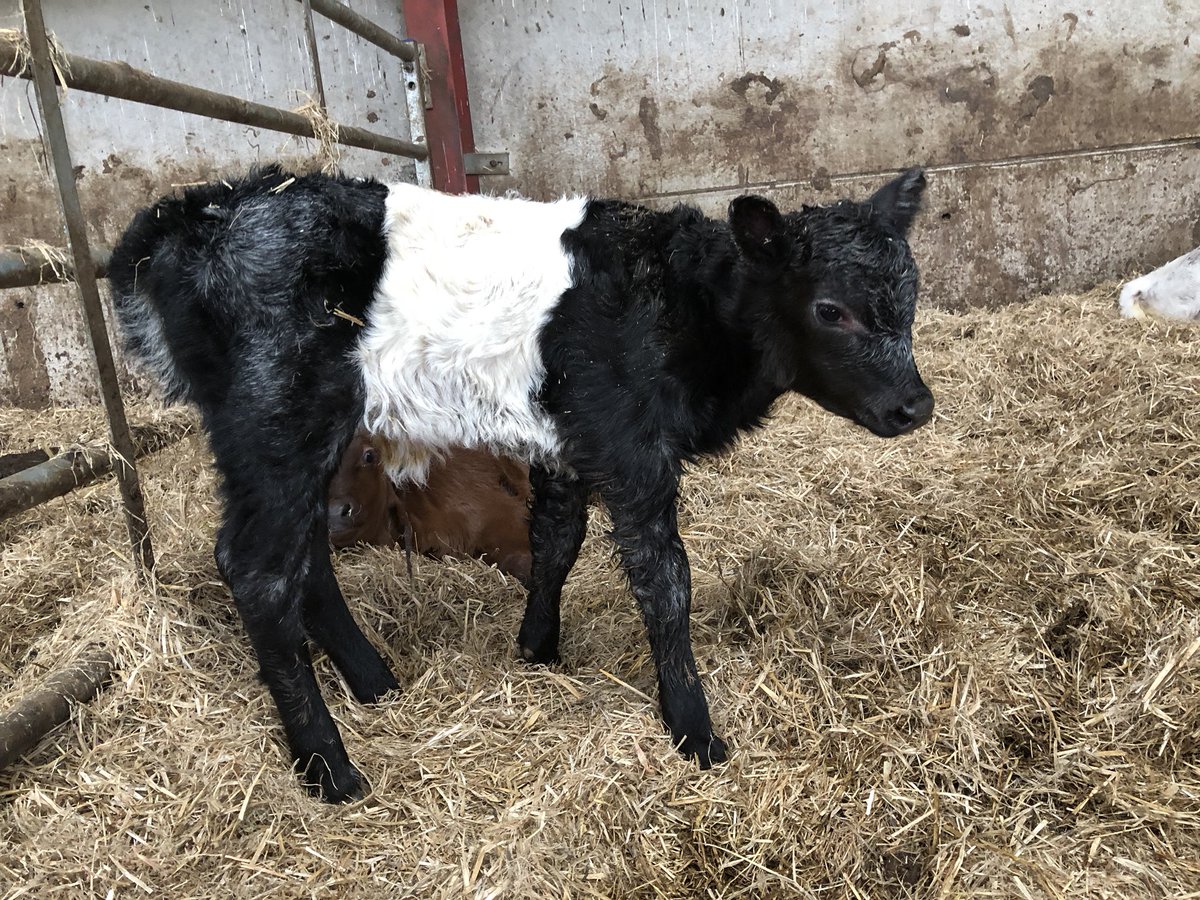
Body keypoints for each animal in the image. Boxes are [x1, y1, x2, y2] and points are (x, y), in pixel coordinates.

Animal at [108, 165, 933, 801]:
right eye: (831, 309)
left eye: (911, 298)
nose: (915, 405)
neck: (681, 301)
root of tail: (195, 213)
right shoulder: (635, 450)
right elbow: (665, 582)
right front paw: (694, 730)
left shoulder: (569, 445)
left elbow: (556, 541)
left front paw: (537, 647)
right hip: (274, 418)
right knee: (258, 569)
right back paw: (329, 768)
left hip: (302, 439)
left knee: (305, 558)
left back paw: (373, 681)